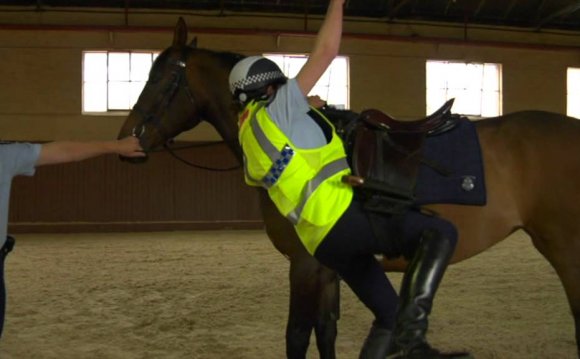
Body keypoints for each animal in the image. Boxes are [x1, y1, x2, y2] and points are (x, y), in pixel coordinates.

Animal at [118, 19, 580, 359]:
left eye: (161, 79)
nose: (127, 141)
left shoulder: (306, 263)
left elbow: (298, 335)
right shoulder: (330, 267)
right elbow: (325, 332)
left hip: (564, 248)